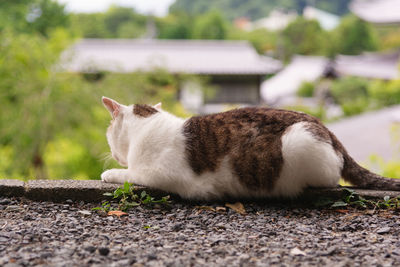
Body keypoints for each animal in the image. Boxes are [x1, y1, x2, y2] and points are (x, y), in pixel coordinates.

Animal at [100, 97, 400, 200]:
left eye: (108, 132)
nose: (112, 153)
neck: (146, 125)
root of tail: (328, 131)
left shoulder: (157, 174)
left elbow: (128, 174)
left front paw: (108, 173)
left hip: (298, 143)